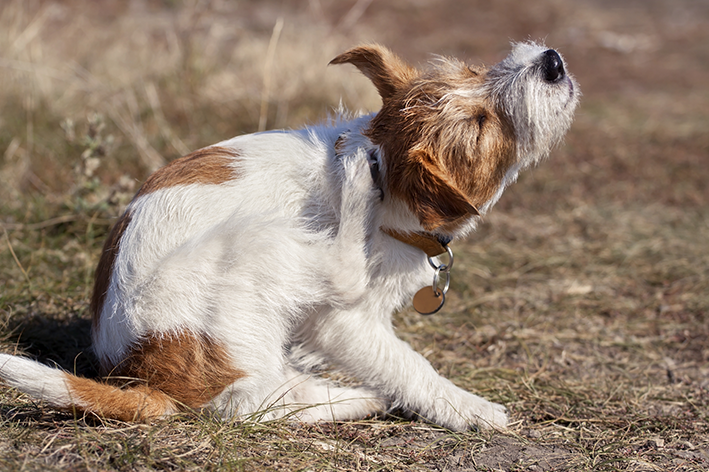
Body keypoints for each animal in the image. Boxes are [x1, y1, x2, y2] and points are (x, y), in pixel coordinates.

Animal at [0, 41, 576, 432]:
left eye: (473, 71)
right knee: (248, 403)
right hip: (255, 242)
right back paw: (353, 183)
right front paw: (469, 408)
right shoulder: (344, 323)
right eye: (480, 123)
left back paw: (348, 395)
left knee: (267, 395)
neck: (389, 178)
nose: (551, 61)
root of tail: (144, 377)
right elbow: (407, 364)